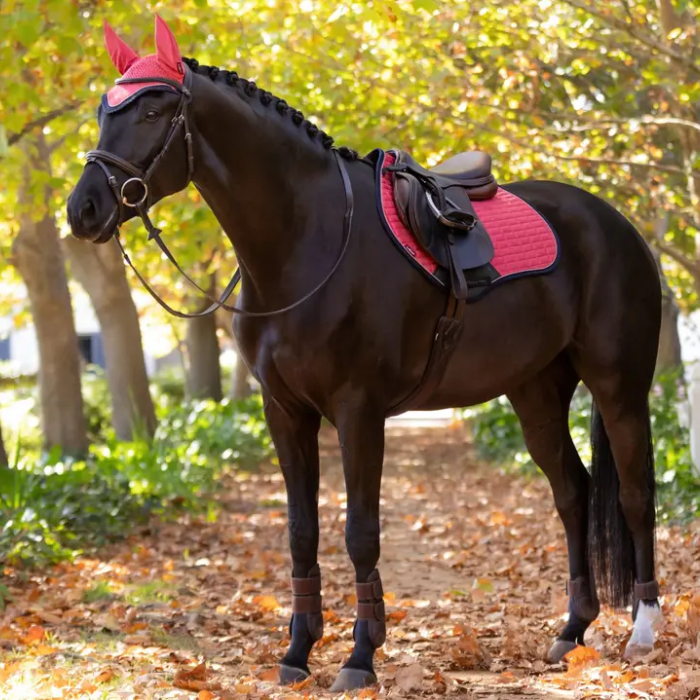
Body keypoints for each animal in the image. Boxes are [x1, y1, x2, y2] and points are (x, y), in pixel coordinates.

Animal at [67, 16, 662, 692]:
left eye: (152, 108)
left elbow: (360, 535)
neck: (308, 238)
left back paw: (643, 630)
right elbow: (302, 533)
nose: (84, 209)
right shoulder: (285, 412)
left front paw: (359, 658)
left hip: (618, 385)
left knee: (636, 492)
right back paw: (571, 631)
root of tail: (614, 223)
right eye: (103, 110)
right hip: (535, 391)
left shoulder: (359, 411)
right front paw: (298, 652)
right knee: (573, 492)